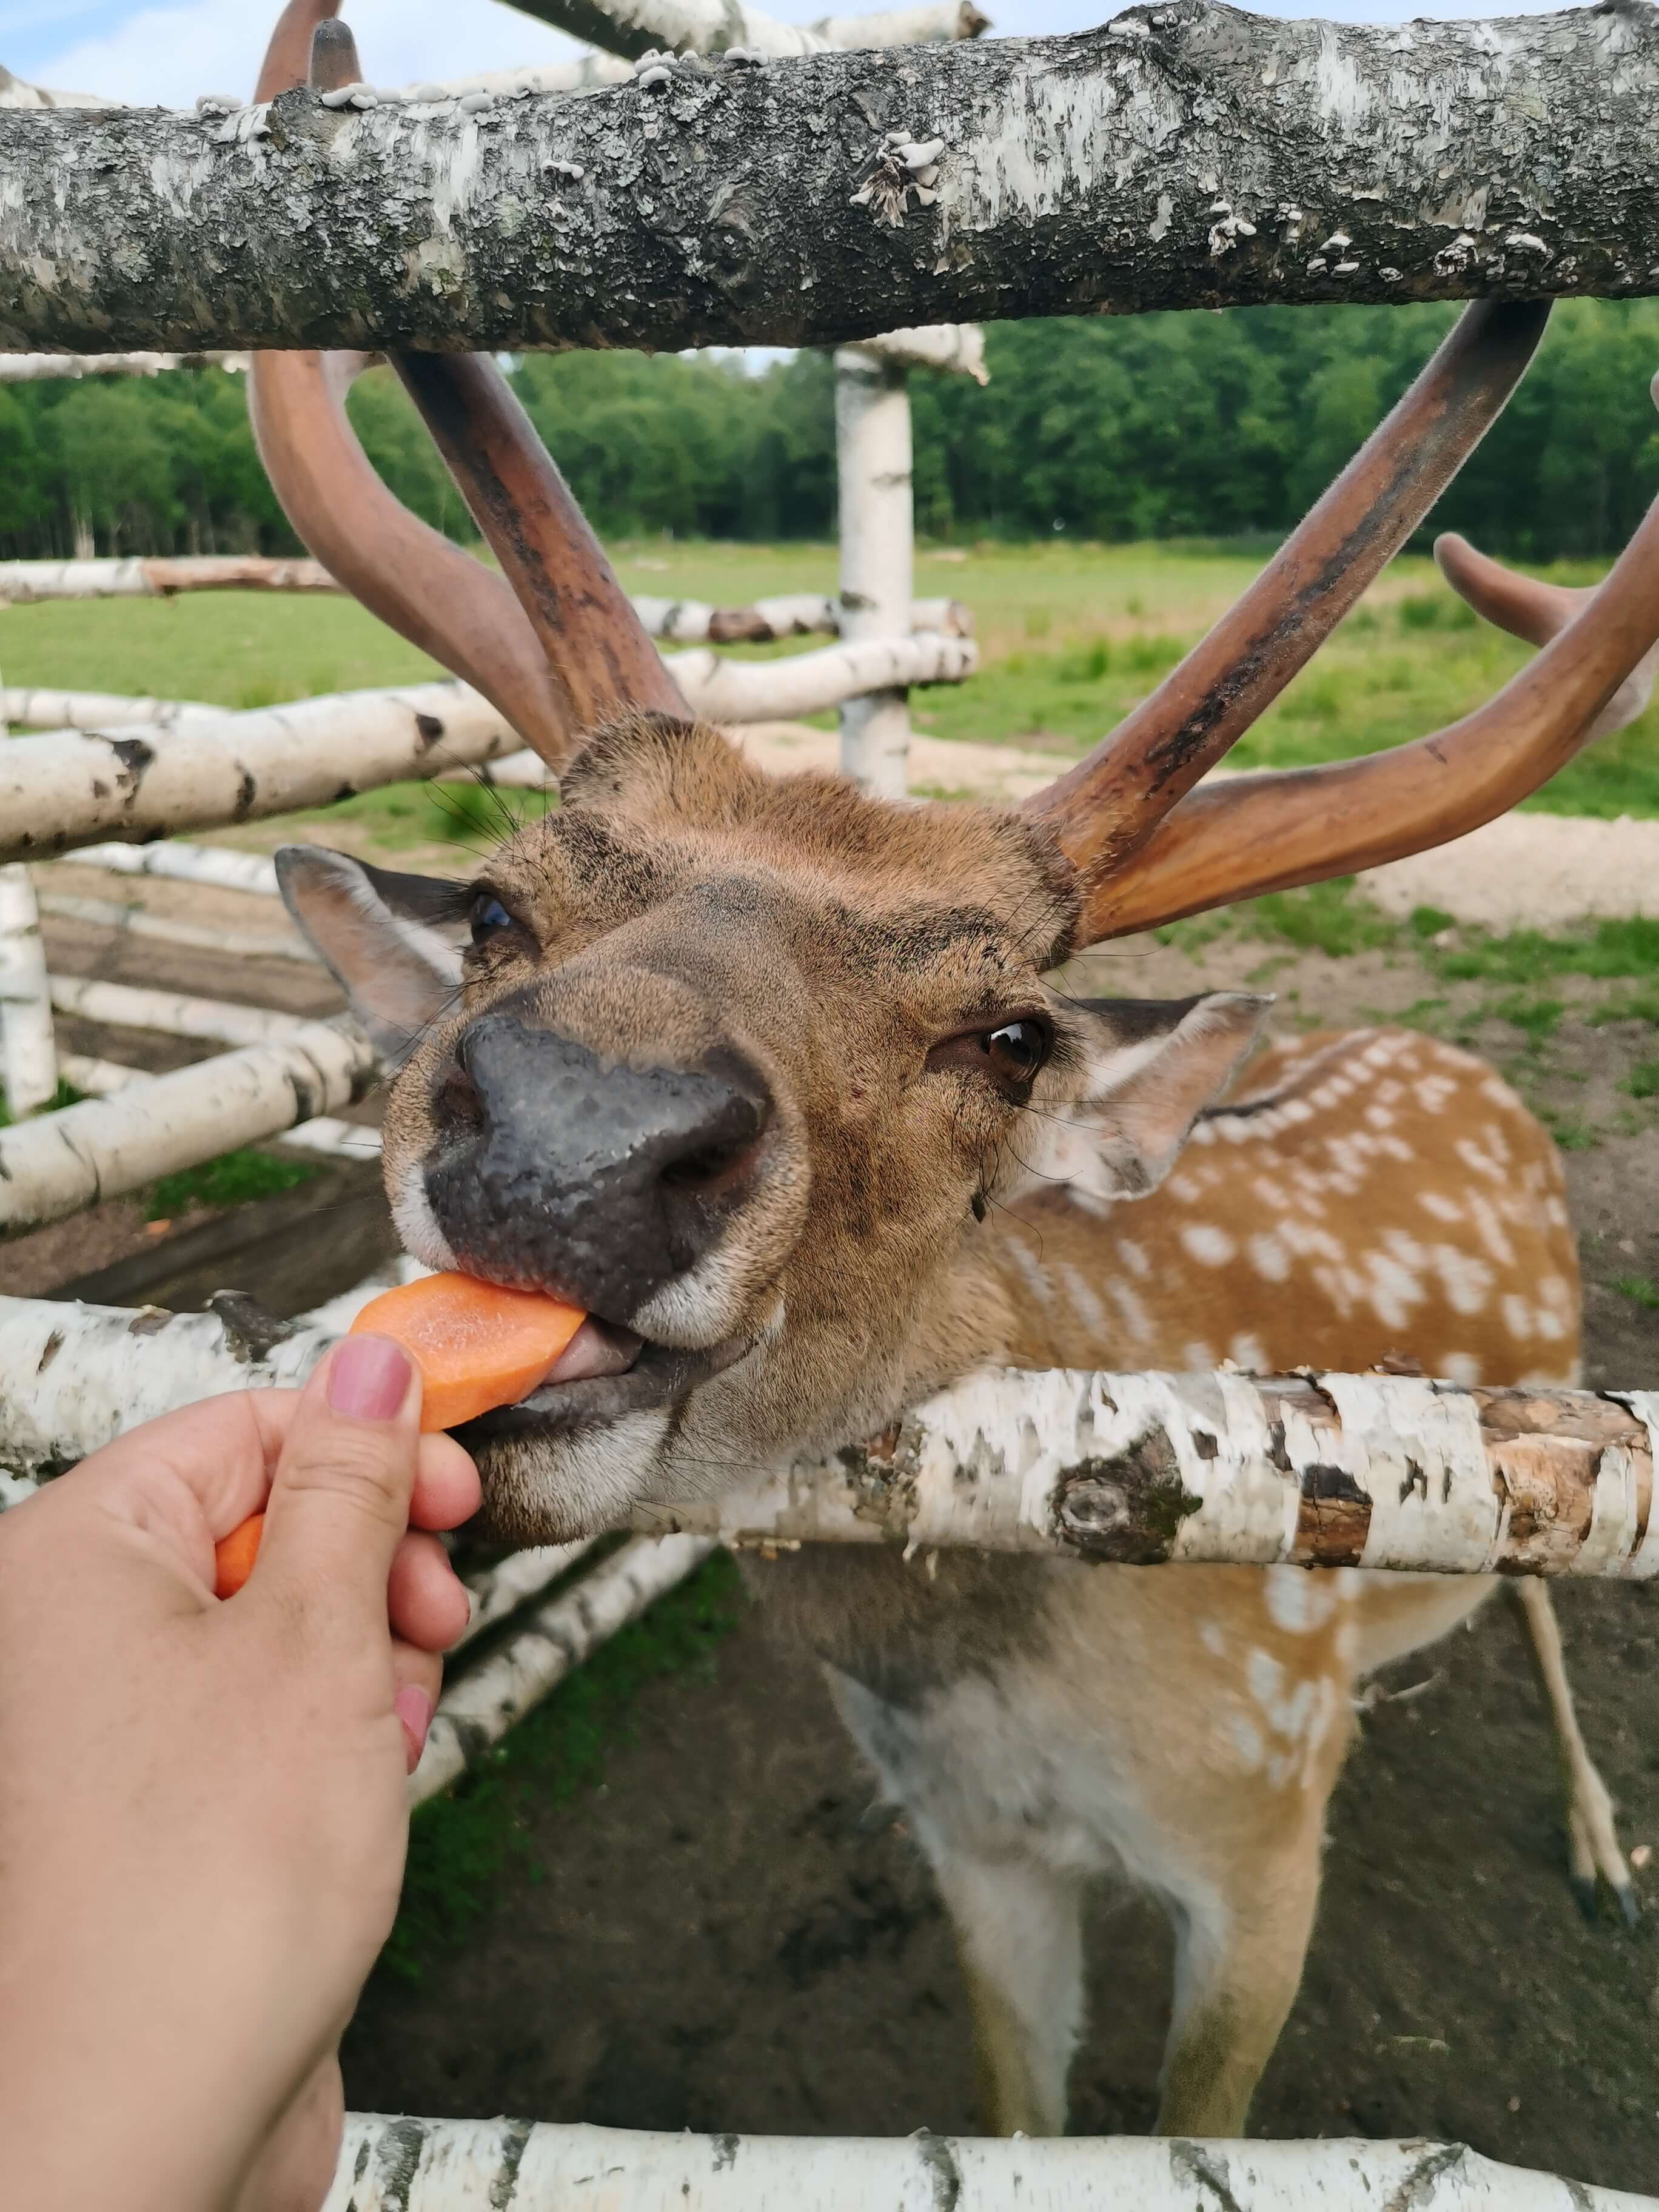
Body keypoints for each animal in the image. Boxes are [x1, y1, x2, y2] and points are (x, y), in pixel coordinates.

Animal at [250, 8, 1659, 2132]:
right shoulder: (973, 1850)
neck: (1019, 1694)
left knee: (1548, 1586)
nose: (576, 1137)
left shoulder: (1267, 1824)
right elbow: (1019, 2106)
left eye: (1010, 1036)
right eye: (498, 907)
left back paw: (1597, 1844)